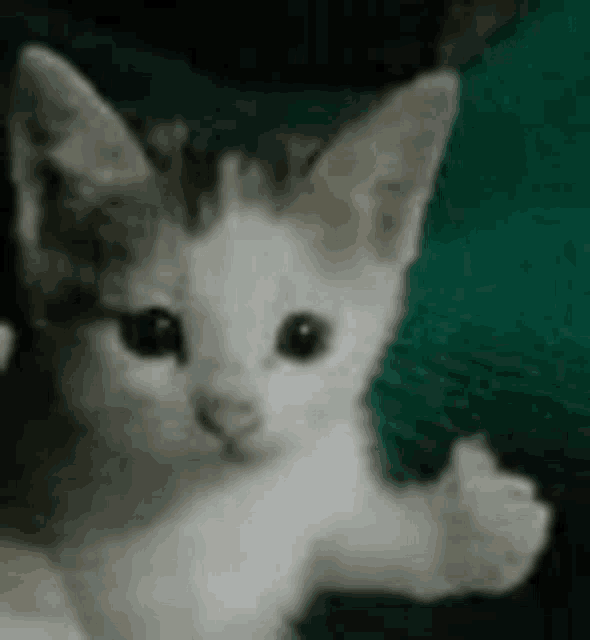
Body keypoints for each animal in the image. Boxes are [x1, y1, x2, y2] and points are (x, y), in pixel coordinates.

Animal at [1, 42, 556, 636]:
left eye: (304, 337)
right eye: (150, 333)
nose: (230, 417)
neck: (230, 502)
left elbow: (337, 540)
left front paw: (471, 531)